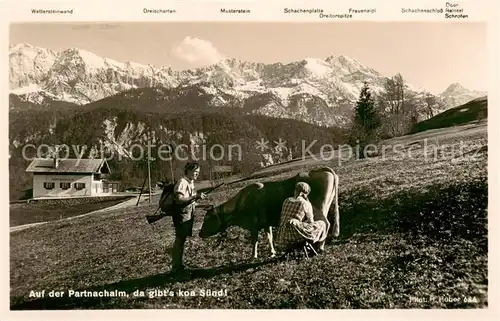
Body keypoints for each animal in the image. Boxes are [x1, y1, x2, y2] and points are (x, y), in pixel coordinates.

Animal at [199, 166, 340, 258]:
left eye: (207, 219)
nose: (200, 233)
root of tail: (319, 169)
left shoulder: (253, 225)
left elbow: (254, 240)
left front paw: (253, 256)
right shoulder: (266, 223)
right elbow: (269, 237)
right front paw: (272, 252)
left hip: (319, 208)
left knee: (325, 223)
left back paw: (319, 247)